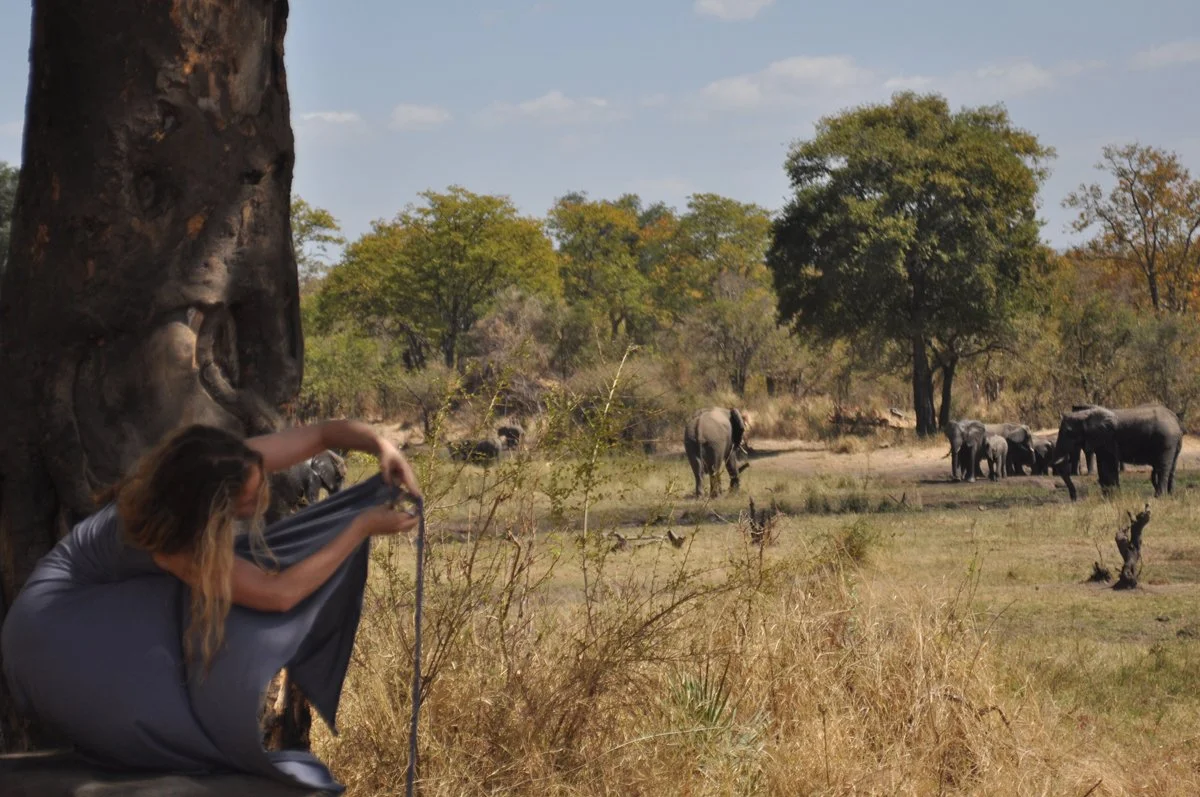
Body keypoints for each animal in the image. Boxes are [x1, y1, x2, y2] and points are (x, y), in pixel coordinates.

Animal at [1053, 404, 1184, 501]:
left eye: (1068, 432)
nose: (1073, 499)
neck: (1084, 415)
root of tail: (1175, 419)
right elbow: (1102, 464)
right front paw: (1107, 497)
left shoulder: (1107, 438)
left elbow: (1109, 464)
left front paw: (1113, 497)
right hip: (1174, 442)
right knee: (1172, 467)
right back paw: (1171, 495)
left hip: (1166, 440)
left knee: (1163, 468)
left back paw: (1159, 497)